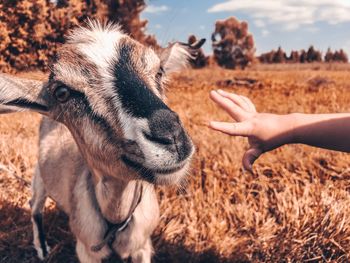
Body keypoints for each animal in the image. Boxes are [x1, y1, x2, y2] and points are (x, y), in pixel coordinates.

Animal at [0, 21, 205, 263]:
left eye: (159, 72)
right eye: (62, 92)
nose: (172, 138)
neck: (116, 219)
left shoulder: (143, 247)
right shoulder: (87, 251)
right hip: (39, 176)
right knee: (35, 205)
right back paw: (42, 247)